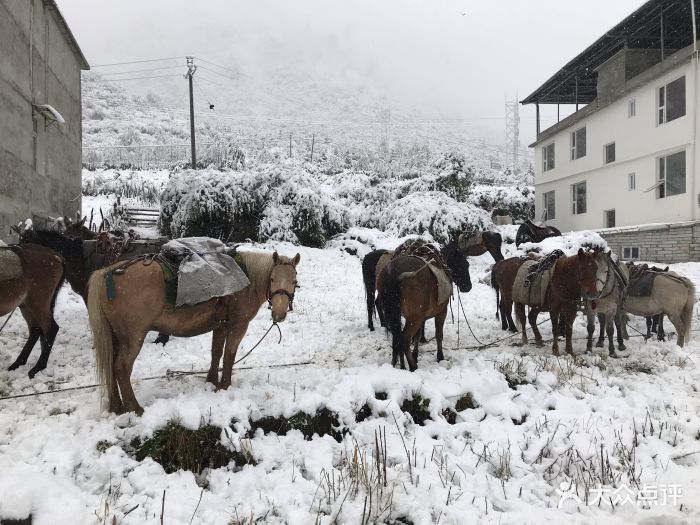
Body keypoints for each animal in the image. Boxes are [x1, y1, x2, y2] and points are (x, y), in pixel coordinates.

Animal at [0, 244, 65, 378]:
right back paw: (18, 363)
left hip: (38, 303)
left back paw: (37, 368)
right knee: (35, 331)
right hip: (26, 305)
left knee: (51, 329)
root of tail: (56, 256)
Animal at [87, 248, 298, 416]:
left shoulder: (221, 326)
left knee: (111, 365)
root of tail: (107, 273)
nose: (279, 314)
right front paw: (225, 386)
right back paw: (135, 408)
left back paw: (117, 406)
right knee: (121, 368)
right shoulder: (238, 325)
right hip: (132, 339)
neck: (246, 280)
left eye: (294, 281)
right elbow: (229, 356)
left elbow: (216, 353)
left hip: (115, 337)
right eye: (272, 279)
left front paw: (211, 381)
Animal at [378, 239, 470, 370]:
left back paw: (402, 365)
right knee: (404, 339)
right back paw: (412, 366)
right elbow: (438, 334)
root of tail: (394, 272)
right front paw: (440, 356)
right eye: (464, 264)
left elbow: (418, 335)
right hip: (414, 319)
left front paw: (415, 354)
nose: (468, 286)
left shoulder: (422, 317)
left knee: (398, 337)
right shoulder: (441, 312)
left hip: (398, 315)